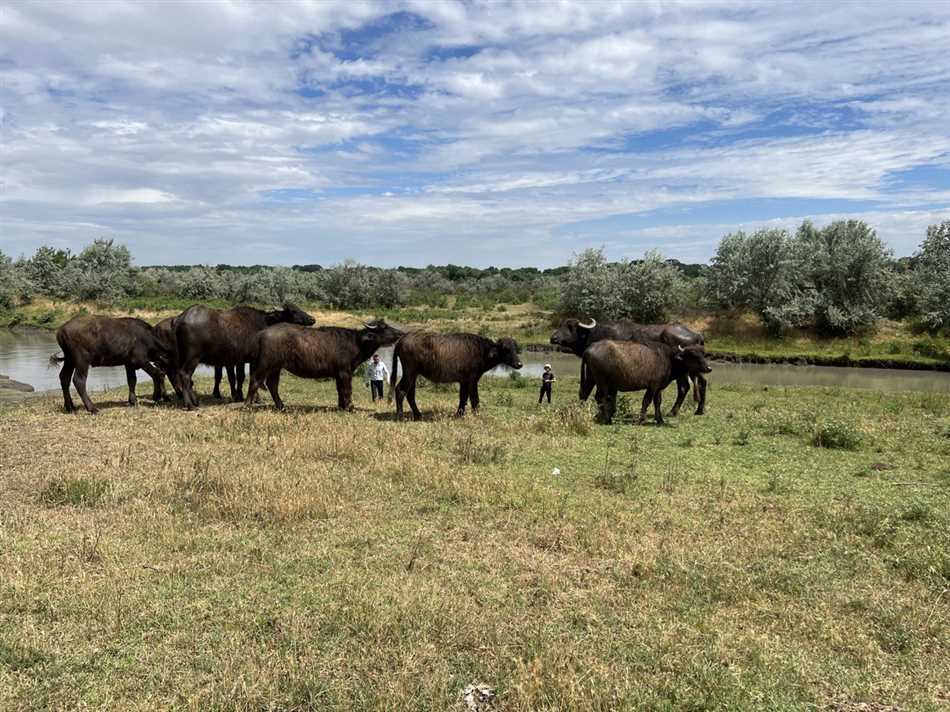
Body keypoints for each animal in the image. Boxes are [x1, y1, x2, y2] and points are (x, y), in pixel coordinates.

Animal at [175, 304, 316, 408]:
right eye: (293, 311)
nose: (312, 319)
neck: (265, 323)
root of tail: (181, 318)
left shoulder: (241, 360)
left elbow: (242, 377)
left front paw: (241, 396)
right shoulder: (253, 360)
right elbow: (253, 378)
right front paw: (255, 398)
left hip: (183, 357)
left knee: (185, 377)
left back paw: (194, 401)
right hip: (193, 358)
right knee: (185, 375)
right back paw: (189, 405)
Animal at [244, 318, 404, 408]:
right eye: (383, 327)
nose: (400, 333)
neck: (357, 342)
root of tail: (262, 333)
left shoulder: (339, 374)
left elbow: (340, 390)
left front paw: (342, 406)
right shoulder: (345, 372)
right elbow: (347, 389)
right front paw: (350, 407)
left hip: (276, 367)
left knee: (272, 385)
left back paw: (281, 405)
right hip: (266, 364)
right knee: (255, 380)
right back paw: (247, 405)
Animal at [390, 332, 524, 420]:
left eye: (515, 348)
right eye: (506, 349)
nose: (519, 364)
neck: (482, 351)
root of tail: (402, 340)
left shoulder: (464, 381)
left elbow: (463, 397)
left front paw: (459, 414)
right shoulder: (472, 379)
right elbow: (474, 399)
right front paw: (476, 416)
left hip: (413, 374)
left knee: (410, 394)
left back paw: (418, 415)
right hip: (409, 372)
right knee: (400, 390)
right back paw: (400, 416)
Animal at [552, 318, 708, 414]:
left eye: (570, 327)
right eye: (560, 324)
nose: (553, 338)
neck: (595, 334)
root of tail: (697, 334)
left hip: (686, 371)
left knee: (684, 387)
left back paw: (673, 412)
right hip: (695, 369)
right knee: (701, 382)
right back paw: (698, 410)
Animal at [580, 338, 712, 422]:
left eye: (703, 354)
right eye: (693, 356)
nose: (709, 368)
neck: (669, 358)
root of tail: (589, 349)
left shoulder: (658, 387)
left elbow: (657, 402)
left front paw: (660, 420)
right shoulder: (652, 386)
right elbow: (646, 401)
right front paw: (641, 419)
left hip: (591, 378)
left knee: (584, 394)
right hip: (602, 381)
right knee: (601, 396)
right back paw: (606, 418)